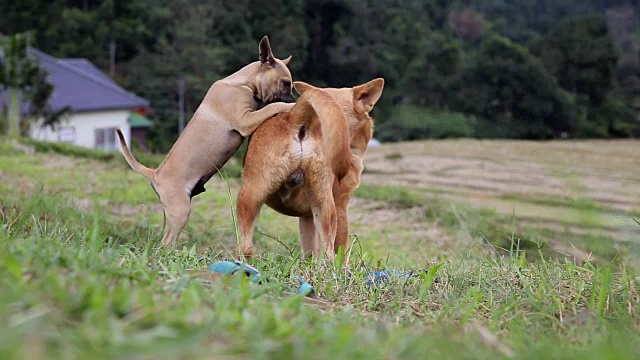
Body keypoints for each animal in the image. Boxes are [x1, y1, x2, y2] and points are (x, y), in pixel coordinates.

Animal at [115, 35, 296, 245]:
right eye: (286, 83)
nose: (292, 95)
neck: (244, 83)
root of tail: (154, 174)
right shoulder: (245, 120)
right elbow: (273, 107)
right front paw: (290, 105)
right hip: (181, 212)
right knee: (166, 242)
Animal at [236, 78, 382, 258]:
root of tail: (295, 116)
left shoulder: (308, 219)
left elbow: (311, 254)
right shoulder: (340, 210)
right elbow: (341, 253)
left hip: (319, 208)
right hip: (250, 198)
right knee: (246, 248)